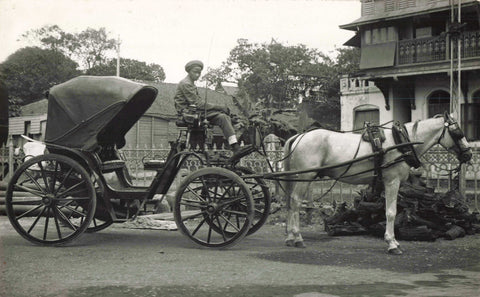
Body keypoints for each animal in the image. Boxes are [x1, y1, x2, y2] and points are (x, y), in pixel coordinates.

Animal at [282, 112, 472, 253]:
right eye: (458, 132)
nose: (469, 154)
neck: (401, 142)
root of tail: (299, 136)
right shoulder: (392, 181)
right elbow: (390, 212)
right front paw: (392, 243)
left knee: (290, 203)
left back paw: (290, 237)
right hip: (305, 177)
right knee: (295, 202)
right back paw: (297, 237)